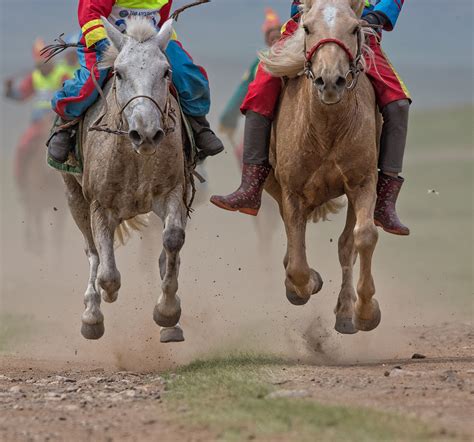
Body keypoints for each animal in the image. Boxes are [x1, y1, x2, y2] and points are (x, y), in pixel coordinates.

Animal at [62, 17, 190, 344]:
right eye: (119, 73)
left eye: (166, 71)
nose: (146, 133)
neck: (134, 156)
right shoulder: (99, 206)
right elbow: (107, 272)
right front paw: (105, 299)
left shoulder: (173, 191)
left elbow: (173, 240)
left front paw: (167, 311)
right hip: (74, 198)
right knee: (93, 252)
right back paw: (91, 314)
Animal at [262, 0, 384, 334]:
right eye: (306, 27)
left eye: (354, 28)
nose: (330, 81)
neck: (327, 128)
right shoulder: (291, 191)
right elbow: (298, 262)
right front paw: (305, 285)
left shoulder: (362, 183)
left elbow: (363, 237)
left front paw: (365, 312)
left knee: (346, 245)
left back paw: (345, 313)